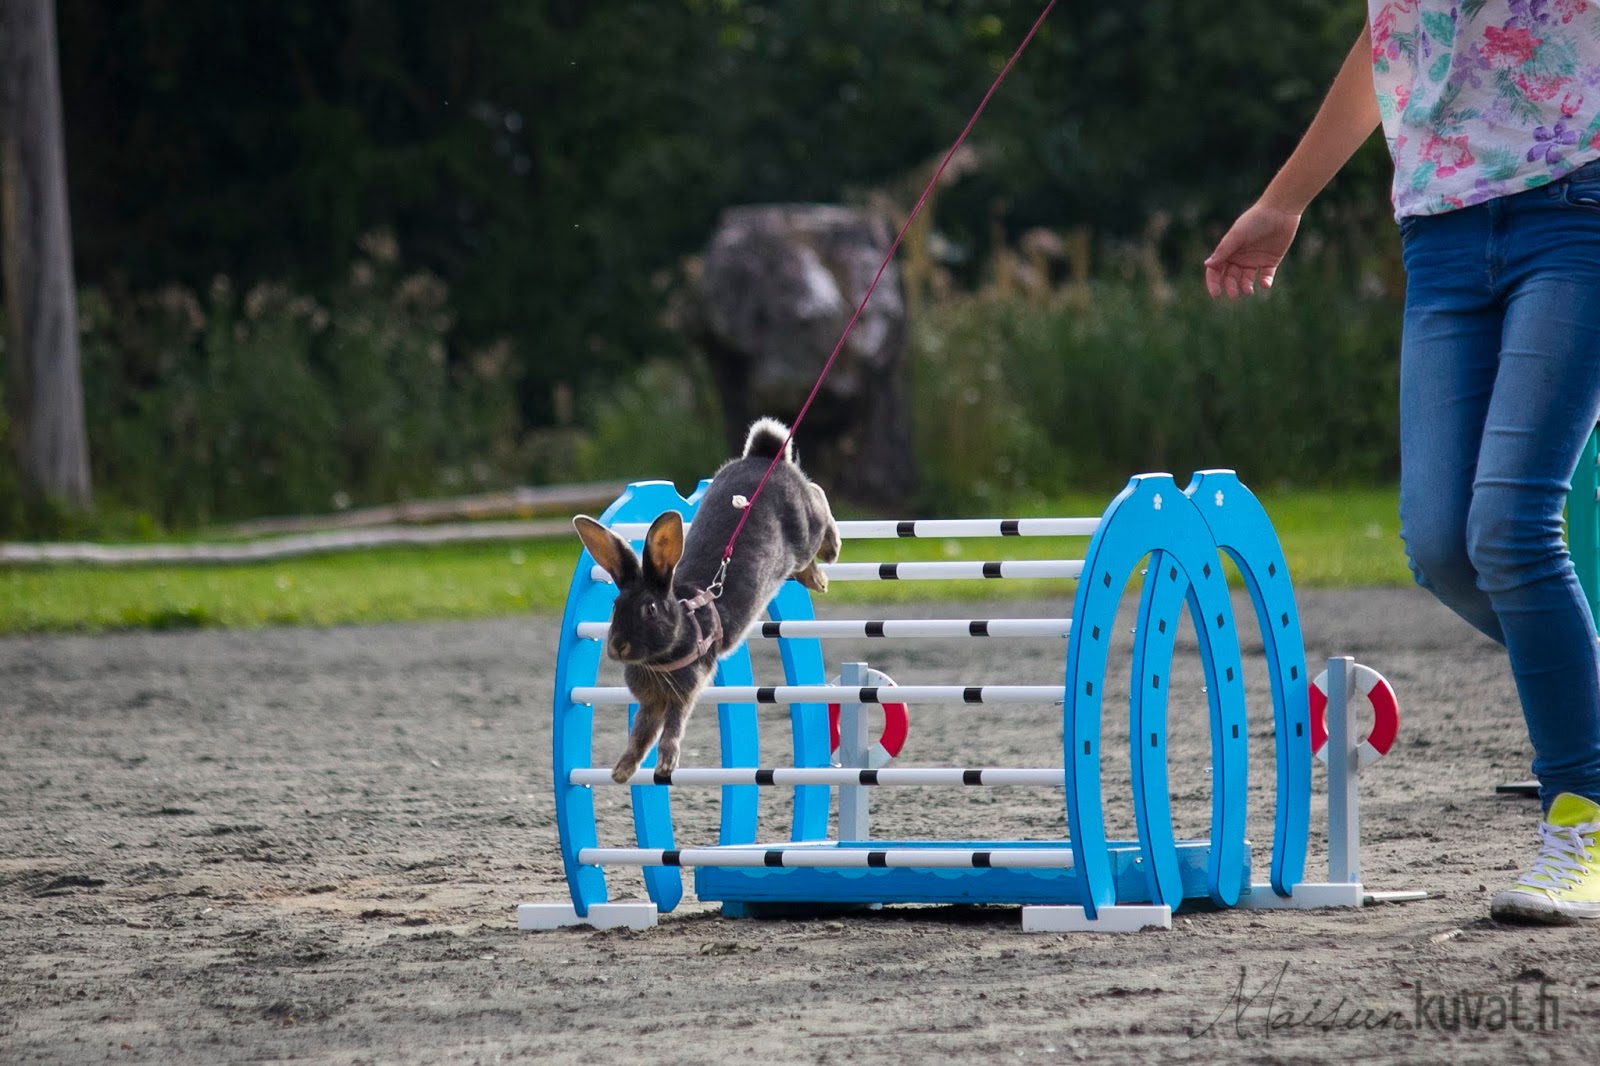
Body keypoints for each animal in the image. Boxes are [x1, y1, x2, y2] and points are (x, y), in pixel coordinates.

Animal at [573, 417, 842, 783]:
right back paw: (815, 578)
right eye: (615, 606)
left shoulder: (684, 693)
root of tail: (764, 455)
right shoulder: (651, 702)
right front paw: (622, 771)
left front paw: (665, 766)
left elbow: (672, 730)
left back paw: (831, 552)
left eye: (650, 609)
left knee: (819, 500)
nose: (618, 647)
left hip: (805, 530)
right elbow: (640, 735)